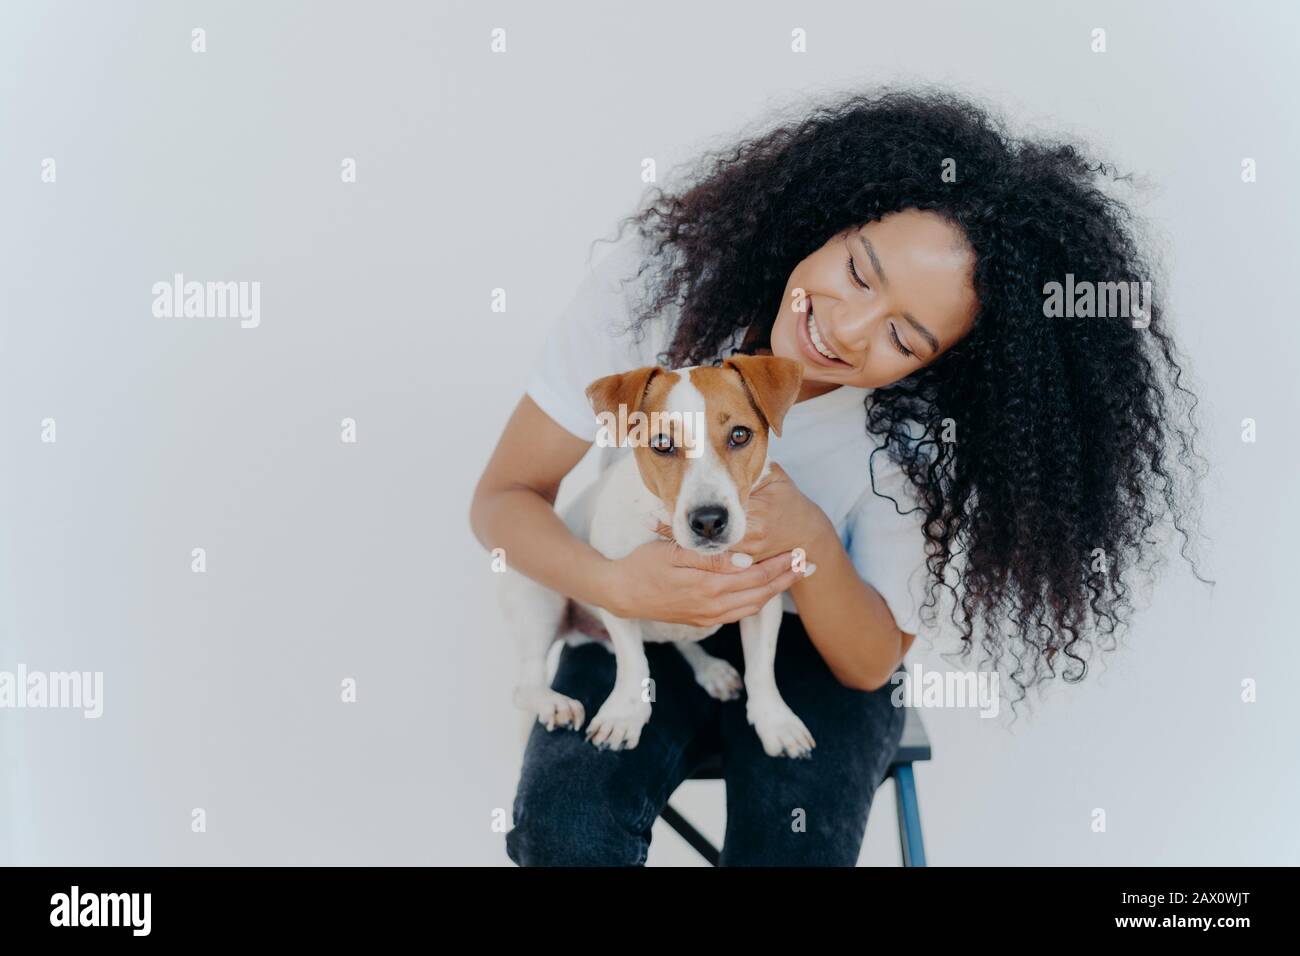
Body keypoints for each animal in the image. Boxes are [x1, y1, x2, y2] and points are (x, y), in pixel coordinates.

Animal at [501, 356, 816, 759]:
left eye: (740, 435)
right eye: (663, 443)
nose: (709, 521)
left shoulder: (764, 601)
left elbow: (761, 669)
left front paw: (775, 721)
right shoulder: (618, 590)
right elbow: (633, 663)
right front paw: (624, 716)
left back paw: (710, 669)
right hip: (540, 598)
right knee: (524, 685)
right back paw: (553, 703)